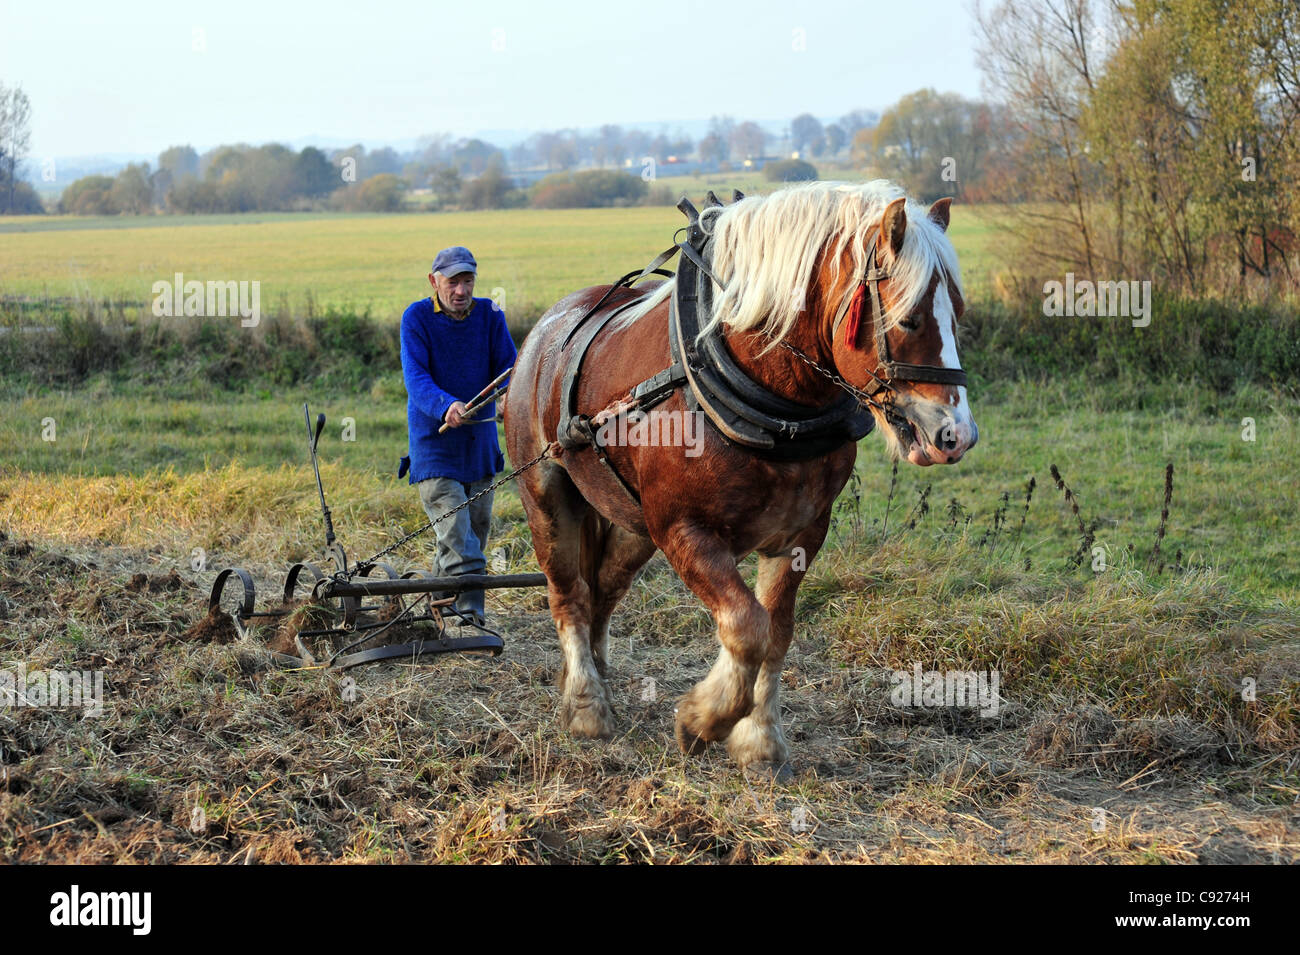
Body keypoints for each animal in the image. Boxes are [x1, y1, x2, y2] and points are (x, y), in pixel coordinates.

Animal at [501, 183, 977, 774]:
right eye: (909, 319)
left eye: (958, 314)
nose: (956, 434)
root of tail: (542, 336)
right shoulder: (684, 530)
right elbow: (746, 627)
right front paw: (703, 720)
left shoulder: (801, 534)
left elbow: (777, 633)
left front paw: (761, 742)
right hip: (548, 496)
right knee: (569, 593)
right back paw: (587, 707)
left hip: (631, 521)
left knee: (603, 591)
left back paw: (596, 678)